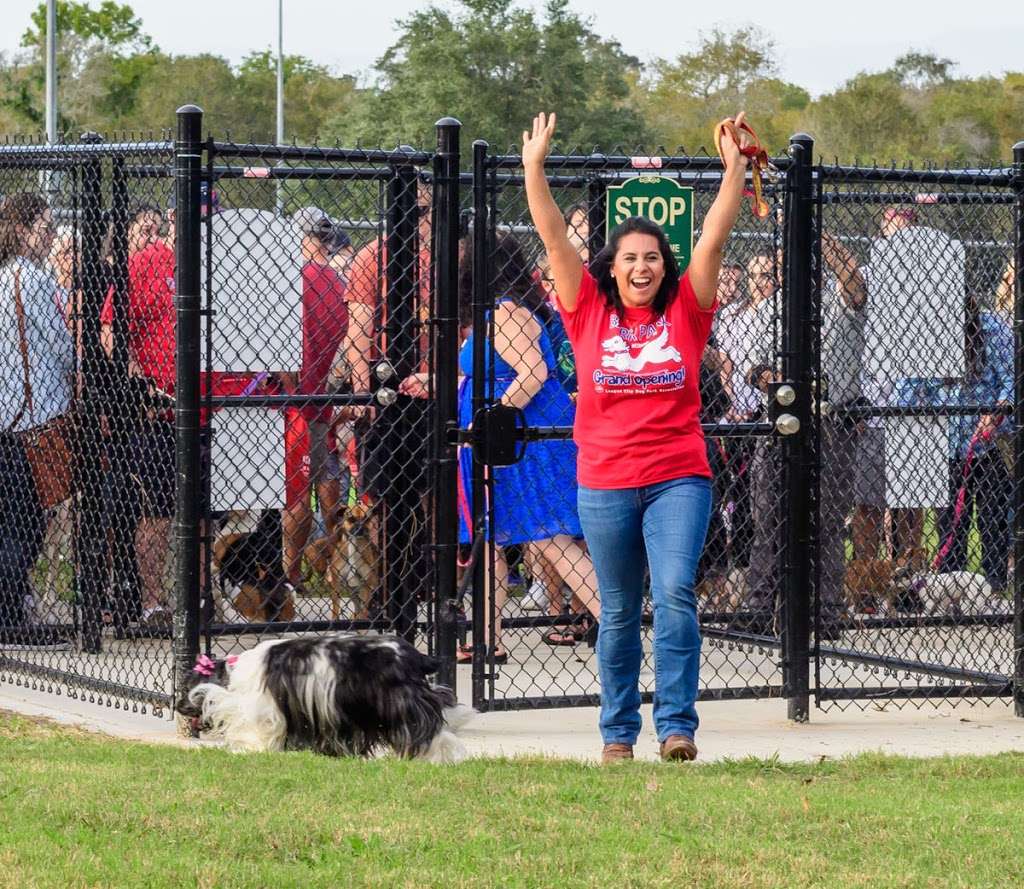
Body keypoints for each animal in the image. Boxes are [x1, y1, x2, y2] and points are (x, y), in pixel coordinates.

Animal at [178, 630, 473, 762]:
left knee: (429, 732)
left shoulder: (264, 711)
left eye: (186, 687)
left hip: (403, 705)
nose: (178, 706)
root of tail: (417, 657)